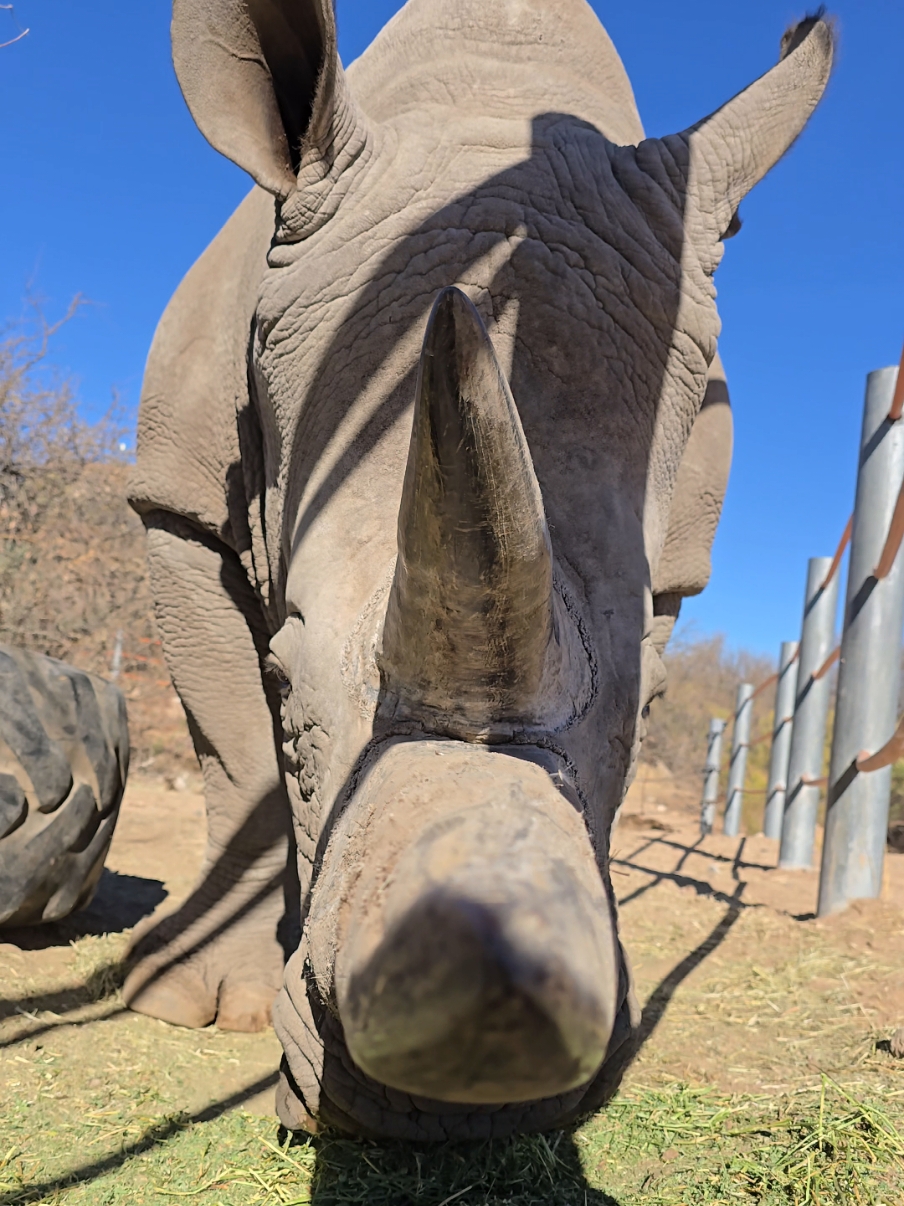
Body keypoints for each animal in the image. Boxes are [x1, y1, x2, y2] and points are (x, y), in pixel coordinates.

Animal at [126, 0, 832, 1139]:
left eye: (651, 711)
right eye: (287, 686)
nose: (464, 1079)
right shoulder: (176, 502)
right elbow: (234, 750)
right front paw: (199, 1002)